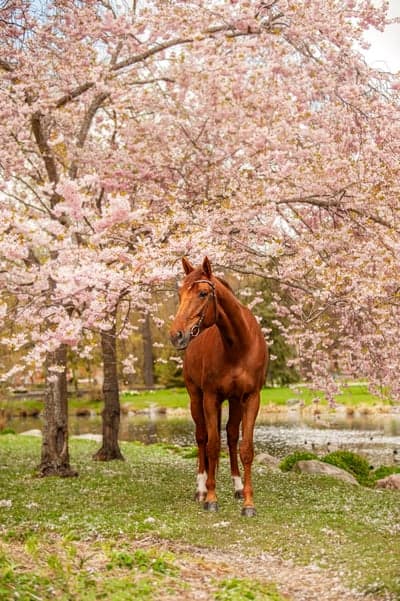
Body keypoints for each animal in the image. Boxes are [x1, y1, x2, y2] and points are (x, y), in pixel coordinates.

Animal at [170, 255, 268, 512]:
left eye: (203, 293)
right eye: (180, 293)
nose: (176, 335)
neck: (238, 346)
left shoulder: (251, 397)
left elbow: (245, 448)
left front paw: (248, 502)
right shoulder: (210, 396)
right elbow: (213, 446)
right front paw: (211, 498)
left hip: (234, 401)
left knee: (231, 436)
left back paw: (237, 486)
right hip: (195, 397)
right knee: (202, 437)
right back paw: (201, 489)